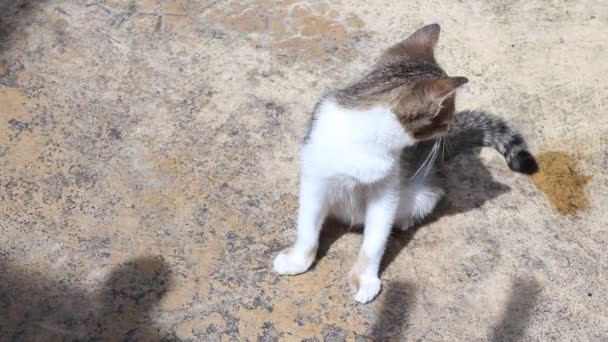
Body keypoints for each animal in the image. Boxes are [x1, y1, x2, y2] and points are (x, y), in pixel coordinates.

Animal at [274, 23, 540, 302]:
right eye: (447, 114)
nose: (449, 129)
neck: (364, 140)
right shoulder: (315, 180)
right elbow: (307, 228)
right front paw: (298, 260)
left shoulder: (387, 192)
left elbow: (374, 241)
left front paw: (365, 278)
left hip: (425, 193)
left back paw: (404, 220)